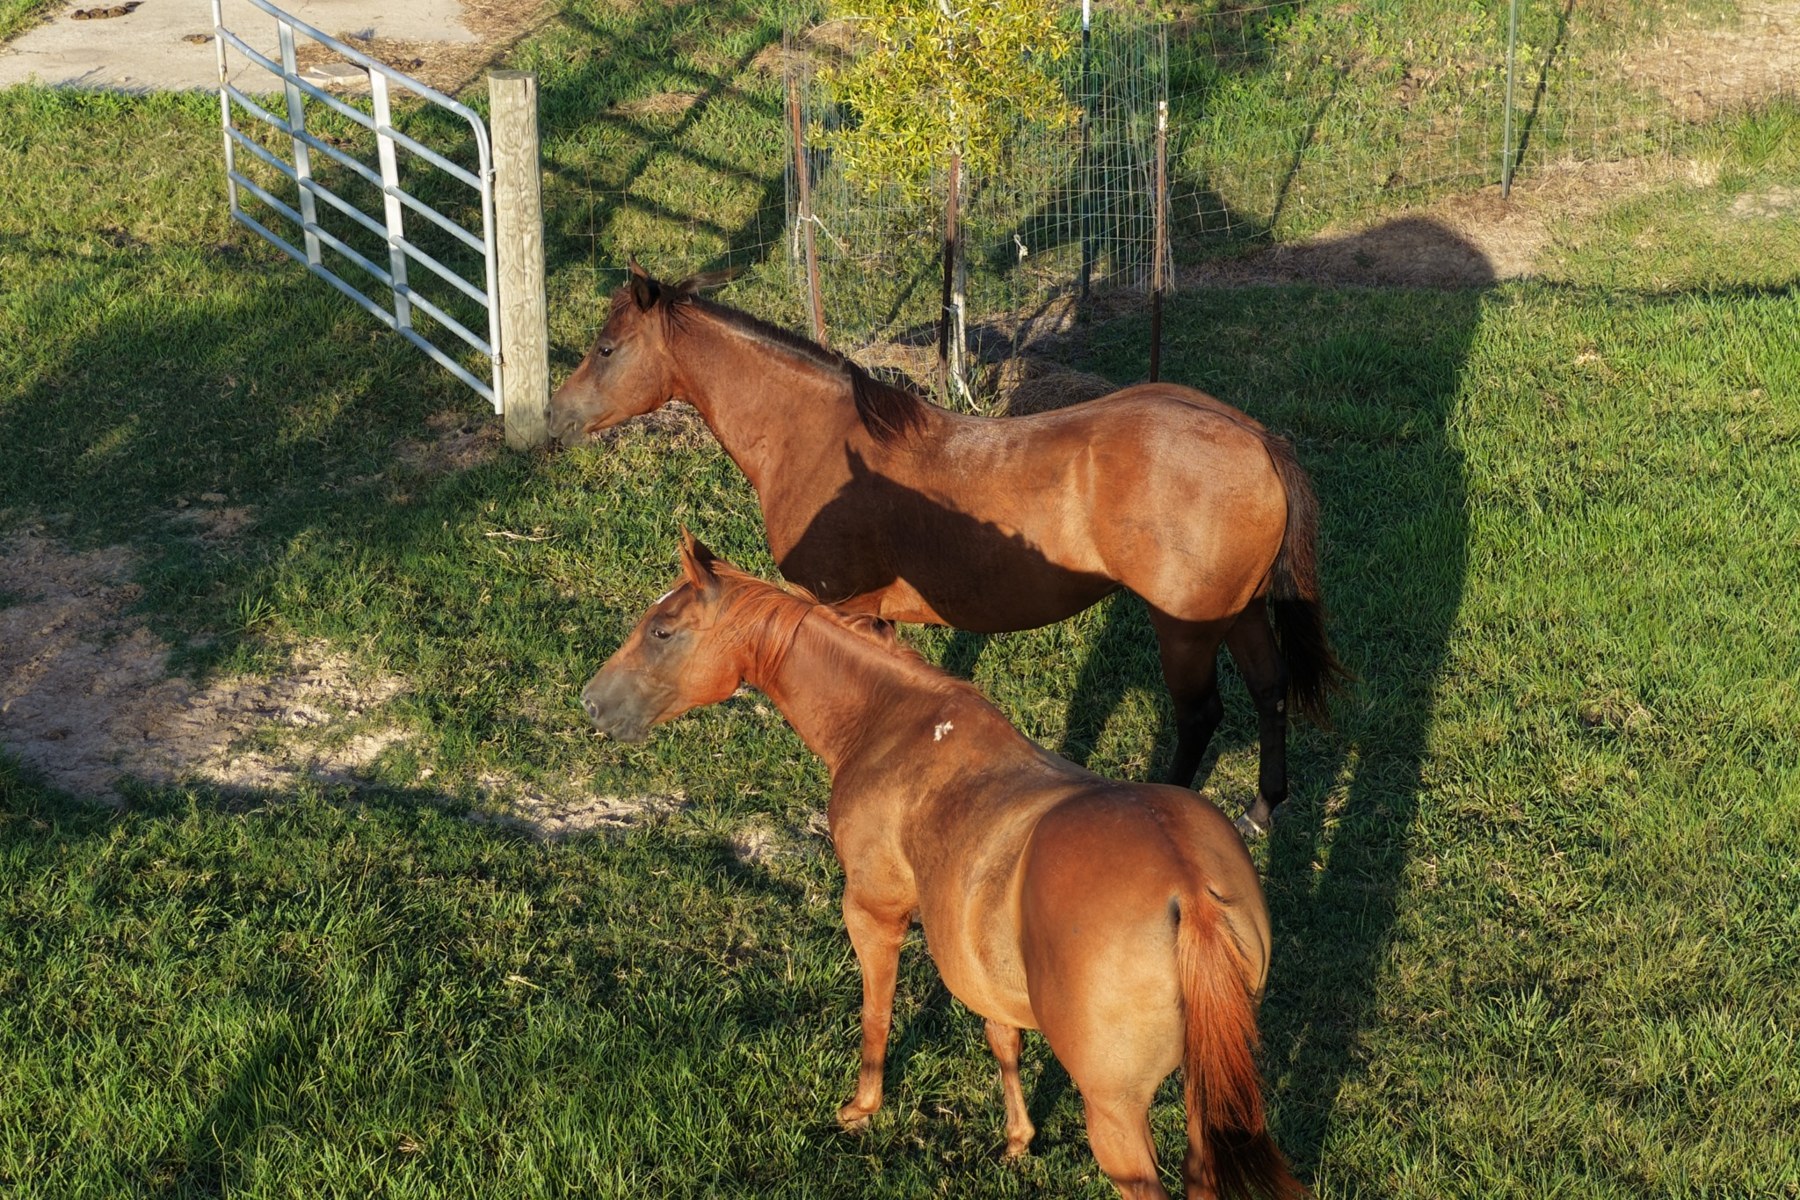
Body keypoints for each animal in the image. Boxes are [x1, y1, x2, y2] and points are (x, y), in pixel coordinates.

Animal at [548, 264, 1346, 835]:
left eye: (607, 349)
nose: (553, 418)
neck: (818, 438)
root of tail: (1255, 439)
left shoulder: (844, 606)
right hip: (1237, 612)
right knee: (1270, 688)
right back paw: (1261, 810)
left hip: (1185, 627)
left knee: (1201, 715)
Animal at [580, 532, 1307, 1200]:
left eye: (663, 631)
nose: (591, 701)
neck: (895, 721)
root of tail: (1189, 891)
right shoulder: (981, 960)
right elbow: (1002, 1038)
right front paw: (1017, 1138)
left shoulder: (873, 912)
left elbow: (876, 1011)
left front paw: (863, 1106)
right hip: (1204, 1095)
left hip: (1119, 1116)